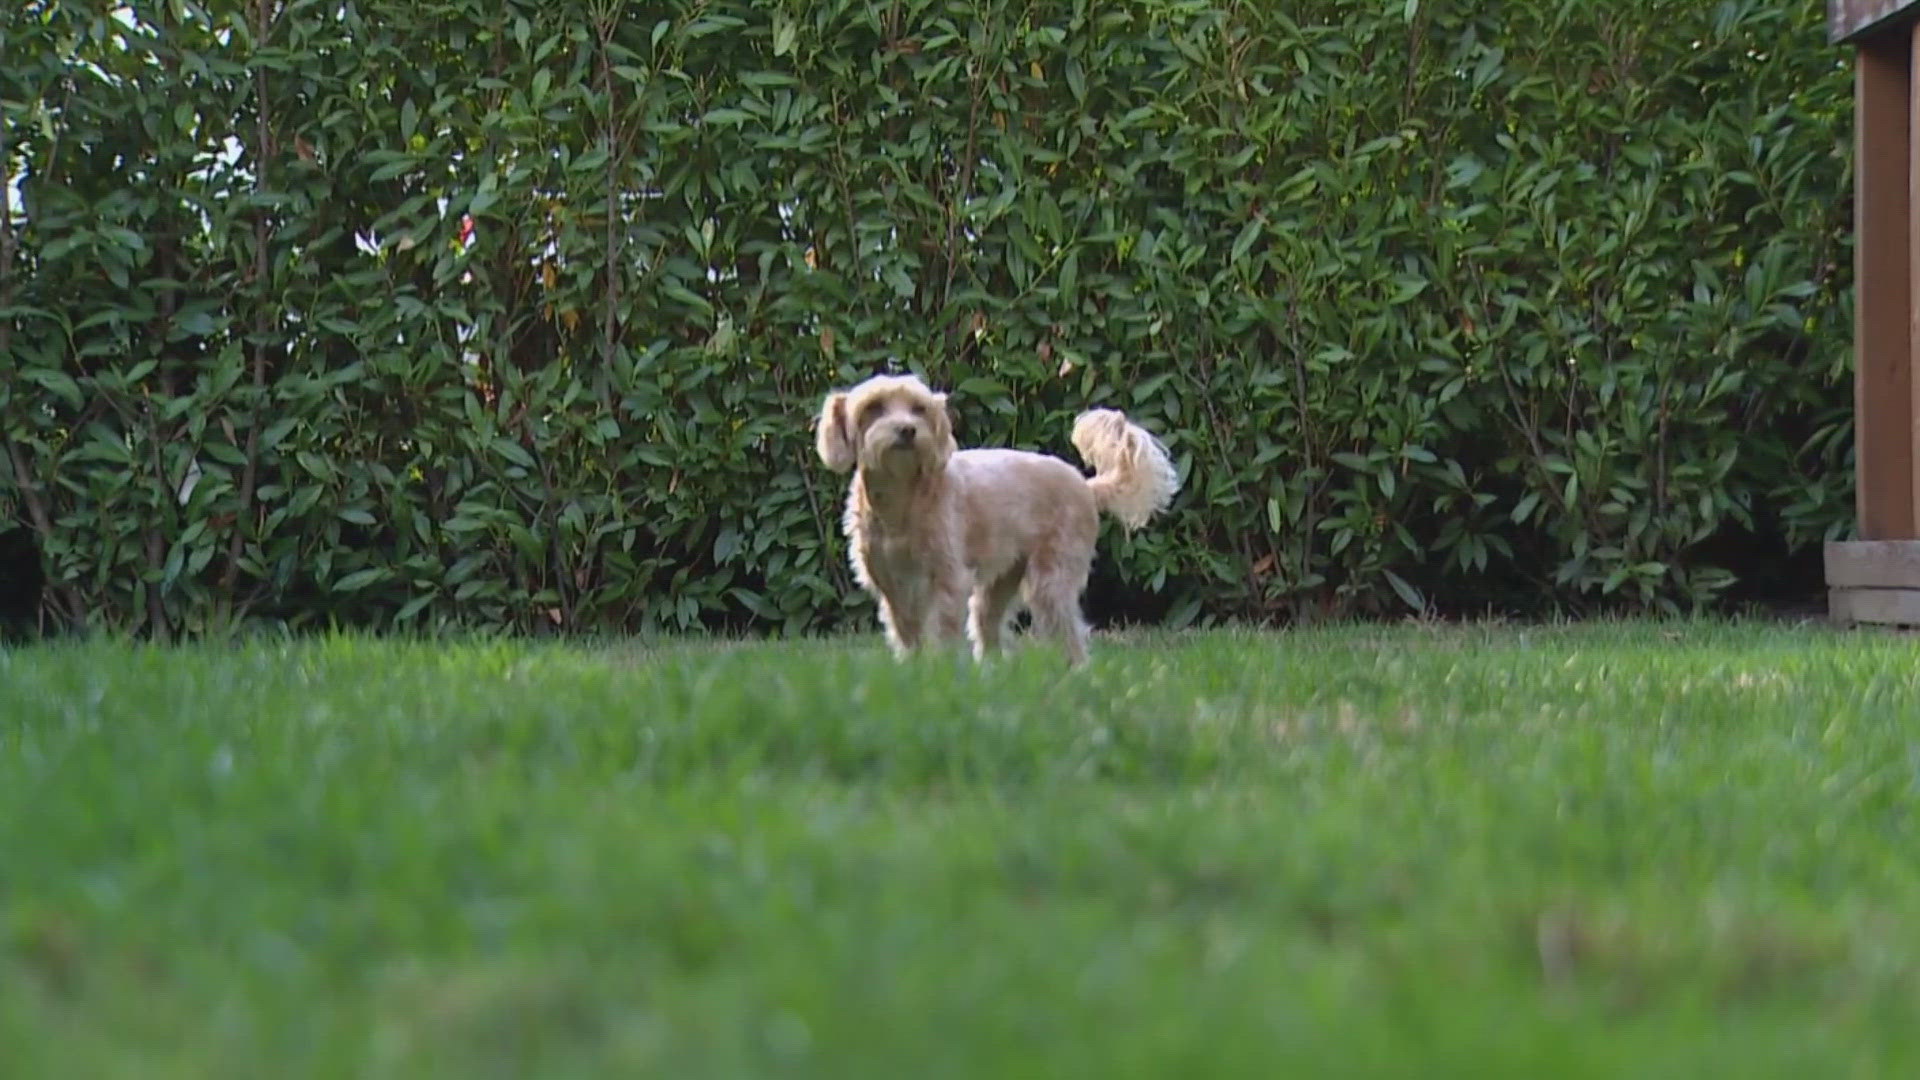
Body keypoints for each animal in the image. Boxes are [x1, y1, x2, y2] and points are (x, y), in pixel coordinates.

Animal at [806, 372, 1167, 664]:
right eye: (875, 407)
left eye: (918, 409)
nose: (907, 430)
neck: (903, 502)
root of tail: (1086, 485)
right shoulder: (892, 585)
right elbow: (908, 636)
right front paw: (914, 672)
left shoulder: (948, 579)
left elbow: (943, 633)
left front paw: (941, 673)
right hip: (997, 586)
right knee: (989, 629)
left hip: (1050, 580)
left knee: (1069, 634)